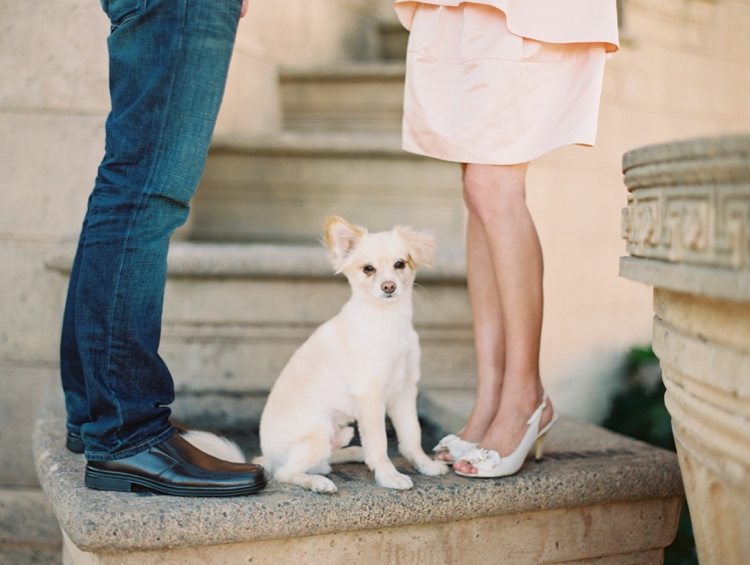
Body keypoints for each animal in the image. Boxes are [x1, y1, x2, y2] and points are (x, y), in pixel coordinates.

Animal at [256, 214, 450, 492]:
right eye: (368, 269)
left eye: (400, 264)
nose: (388, 286)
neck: (388, 321)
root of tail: (267, 458)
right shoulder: (370, 395)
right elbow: (379, 442)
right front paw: (388, 476)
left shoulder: (404, 391)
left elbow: (412, 435)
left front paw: (425, 465)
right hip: (319, 429)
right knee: (287, 471)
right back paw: (318, 482)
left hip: (340, 431)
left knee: (325, 459)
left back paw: (355, 454)